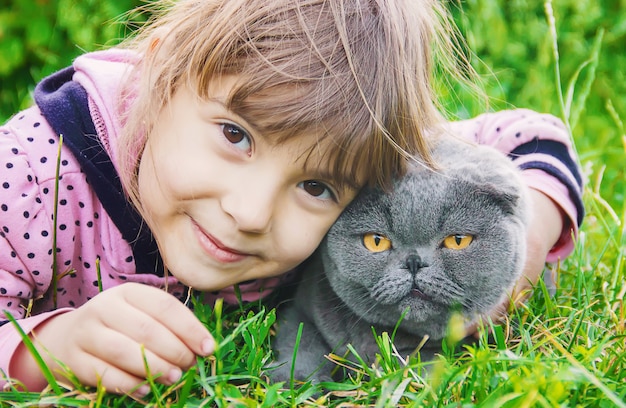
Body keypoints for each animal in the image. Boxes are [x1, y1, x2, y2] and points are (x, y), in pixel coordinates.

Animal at [270, 135, 528, 384]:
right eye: (376, 241)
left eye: (458, 241)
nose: (414, 262)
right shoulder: (301, 310)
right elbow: (301, 343)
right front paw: (294, 380)